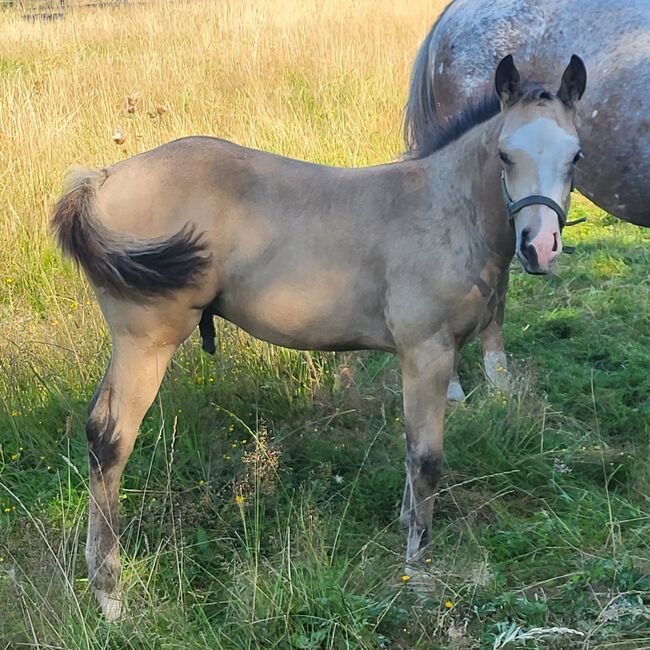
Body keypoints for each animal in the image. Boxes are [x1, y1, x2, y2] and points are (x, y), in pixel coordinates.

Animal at [53, 55, 584, 616]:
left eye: (575, 156)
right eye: (506, 154)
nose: (540, 247)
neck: (444, 209)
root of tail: (101, 179)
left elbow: (410, 449)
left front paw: (405, 530)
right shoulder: (427, 352)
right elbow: (426, 458)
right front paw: (417, 571)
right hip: (146, 341)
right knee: (109, 439)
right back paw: (110, 594)